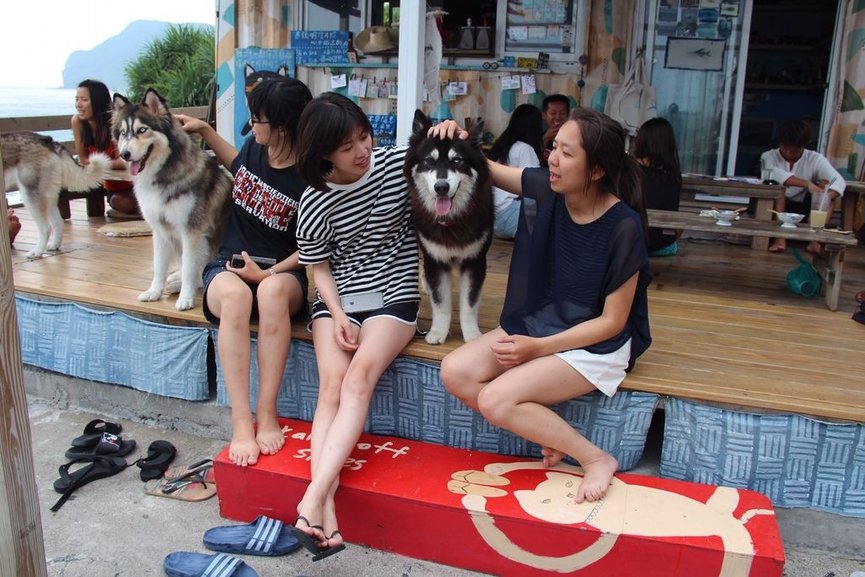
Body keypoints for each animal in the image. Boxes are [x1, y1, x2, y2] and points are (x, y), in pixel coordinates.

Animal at [113, 89, 231, 310]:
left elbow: (189, 268)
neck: (163, 174)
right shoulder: (160, 229)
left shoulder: (192, 231)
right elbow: (159, 266)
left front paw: (185, 298)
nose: (125, 154)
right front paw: (154, 292)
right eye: (123, 133)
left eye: (142, 130)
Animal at [404, 109, 492, 342]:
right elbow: (440, 302)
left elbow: (469, 304)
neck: (451, 222)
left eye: (457, 161)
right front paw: (438, 332)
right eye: (429, 161)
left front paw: (472, 334)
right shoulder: (435, 259)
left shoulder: (475, 261)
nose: (441, 187)